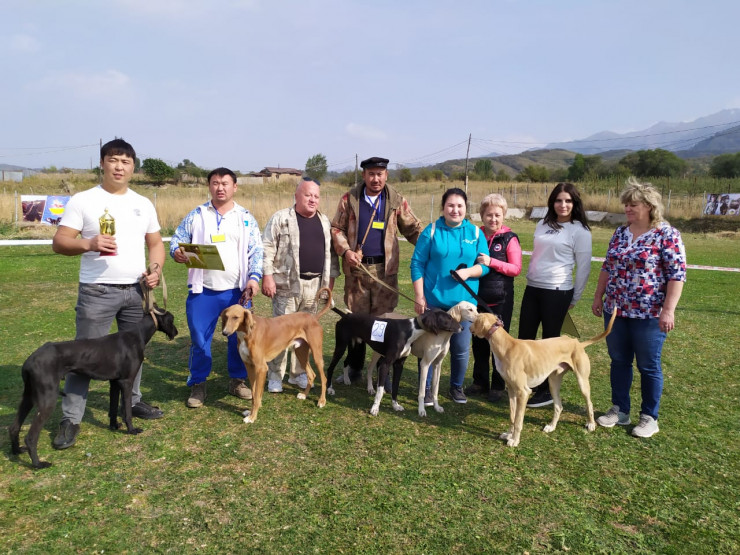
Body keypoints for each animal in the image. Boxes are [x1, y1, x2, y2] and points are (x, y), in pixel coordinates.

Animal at [9, 307, 178, 468]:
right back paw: (38, 464)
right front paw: (131, 430)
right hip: (47, 399)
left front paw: (114, 426)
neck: (137, 334)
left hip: (28, 396)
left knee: (14, 427)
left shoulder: (115, 382)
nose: (176, 332)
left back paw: (16, 451)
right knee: (31, 437)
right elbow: (127, 411)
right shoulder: (126, 382)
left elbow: (113, 408)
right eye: (172, 319)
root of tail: (28, 362)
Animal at [220, 288, 332, 424]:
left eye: (236, 317)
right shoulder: (249, 366)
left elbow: (256, 394)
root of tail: (314, 318)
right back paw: (304, 395)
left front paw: (252, 417)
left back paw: (322, 401)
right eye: (226, 317)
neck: (247, 333)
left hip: (316, 355)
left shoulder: (261, 368)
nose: (225, 333)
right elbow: (254, 393)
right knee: (312, 374)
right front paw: (250, 412)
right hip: (300, 352)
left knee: (323, 378)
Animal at [324, 308, 463, 415]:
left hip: (354, 346)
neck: (410, 330)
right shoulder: (386, 364)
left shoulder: (399, 365)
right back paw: (329, 389)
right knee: (330, 368)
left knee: (346, 362)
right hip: (341, 347)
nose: (461, 328)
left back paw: (347, 379)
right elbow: (380, 391)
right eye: (449, 318)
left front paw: (395, 405)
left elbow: (395, 388)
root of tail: (345, 315)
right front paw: (375, 408)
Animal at [471, 310, 616, 447]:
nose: (469, 328)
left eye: (475, 318)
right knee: (558, 407)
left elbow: (518, 421)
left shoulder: (523, 392)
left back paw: (591, 424)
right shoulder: (512, 391)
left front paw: (515, 440)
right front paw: (508, 434)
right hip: (553, 383)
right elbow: (512, 417)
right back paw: (551, 426)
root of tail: (577, 343)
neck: (506, 346)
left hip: (582, 382)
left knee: (589, 403)